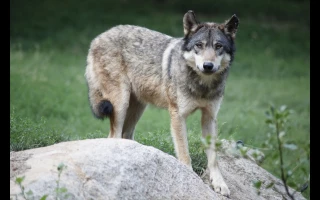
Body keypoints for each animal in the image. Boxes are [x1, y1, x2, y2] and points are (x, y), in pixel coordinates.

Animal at [84, 10, 239, 196]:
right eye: (199, 45)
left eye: (218, 46)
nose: (207, 65)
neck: (202, 85)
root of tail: (97, 38)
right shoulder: (178, 116)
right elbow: (184, 153)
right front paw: (189, 178)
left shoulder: (209, 117)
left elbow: (214, 157)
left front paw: (219, 183)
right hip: (120, 104)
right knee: (113, 136)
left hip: (136, 109)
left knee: (125, 136)